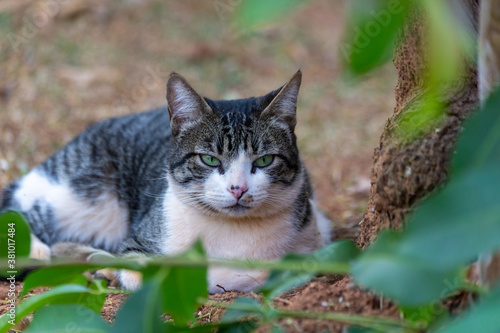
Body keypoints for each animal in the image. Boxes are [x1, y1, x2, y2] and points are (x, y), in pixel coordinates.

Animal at [0, 70, 332, 290]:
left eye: (264, 161)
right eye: (210, 159)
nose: (238, 189)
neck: (232, 233)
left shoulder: (315, 239)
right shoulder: (136, 245)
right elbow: (146, 271)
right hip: (76, 195)